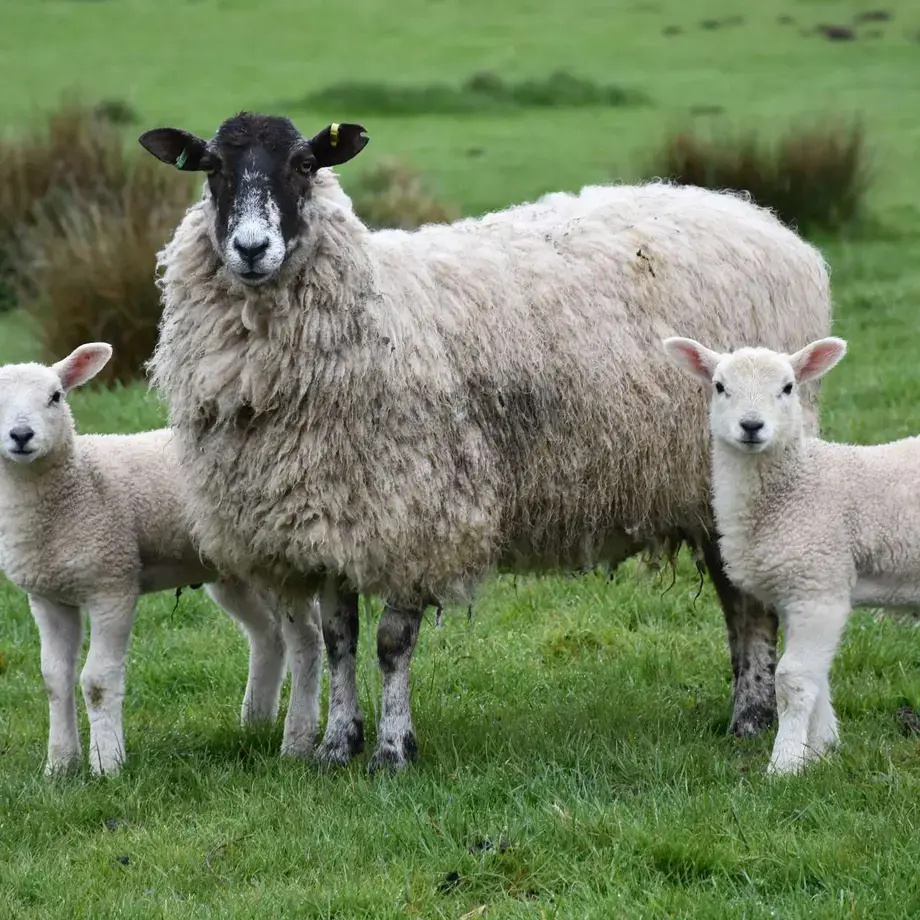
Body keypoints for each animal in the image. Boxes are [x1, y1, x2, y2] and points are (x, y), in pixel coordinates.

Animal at [0, 343, 323, 775]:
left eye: (56, 397)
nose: (21, 436)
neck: (76, 486)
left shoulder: (113, 584)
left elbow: (97, 681)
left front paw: (107, 765)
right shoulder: (48, 597)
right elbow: (54, 679)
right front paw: (60, 766)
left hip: (274, 560)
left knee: (306, 638)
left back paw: (297, 740)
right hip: (234, 574)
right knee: (269, 635)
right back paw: (255, 722)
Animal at [139, 111, 833, 772]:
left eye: (305, 163)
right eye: (211, 168)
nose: (251, 248)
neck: (377, 309)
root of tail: (764, 221)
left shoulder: (415, 512)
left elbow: (392, 644)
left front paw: (393, 750)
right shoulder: (331, 518)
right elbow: (340, 641)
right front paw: (337, 744)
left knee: (746, 604)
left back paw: (750, 717)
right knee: (737, 598)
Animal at [662, 334, 920, 774]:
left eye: (787, 387)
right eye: (719, 386)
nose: (751, 426)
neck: (799, 483)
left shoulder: (818, 585)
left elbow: (792, 679)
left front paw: (784, 765)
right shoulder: (793, 590)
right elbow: (817, 676)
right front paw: (819, 752)